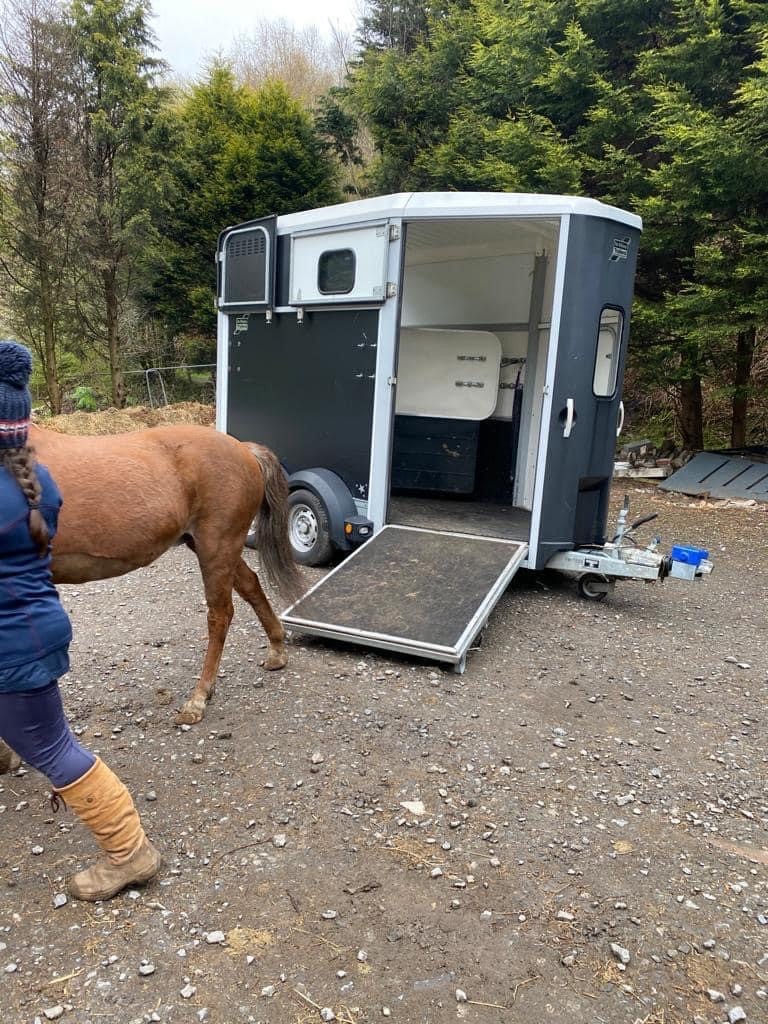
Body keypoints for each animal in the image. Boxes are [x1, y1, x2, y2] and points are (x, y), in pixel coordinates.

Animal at [30, 423, 304, 725]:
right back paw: (277, 650)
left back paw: (199, 698)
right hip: (210, 546)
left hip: (217, 546)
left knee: (220, 616)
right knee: (250, 584)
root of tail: (244, 449)